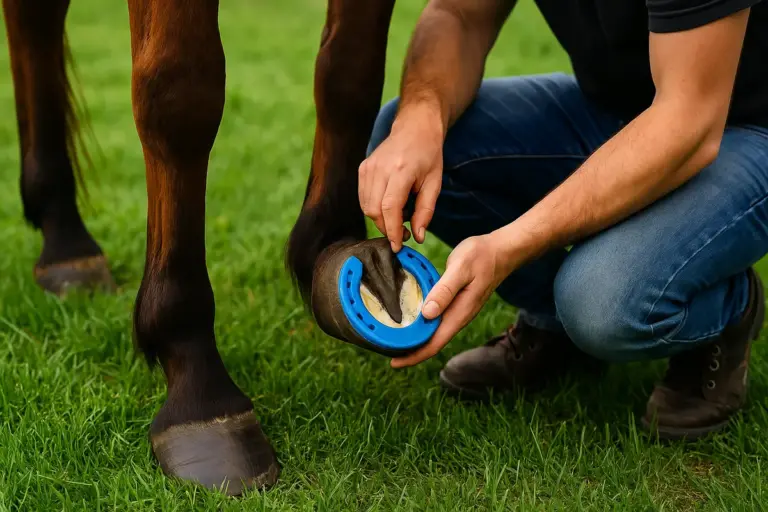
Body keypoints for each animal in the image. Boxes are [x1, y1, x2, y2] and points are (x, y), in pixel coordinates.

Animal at [3, 0, 398, 495]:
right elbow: (181, 95)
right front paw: (197, 387)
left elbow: (351, 66)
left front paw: (334, 249)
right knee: (36, 18)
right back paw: (65, 242)